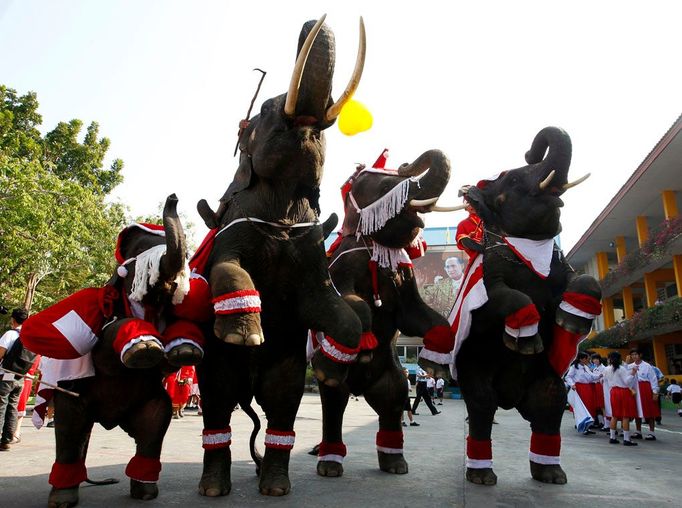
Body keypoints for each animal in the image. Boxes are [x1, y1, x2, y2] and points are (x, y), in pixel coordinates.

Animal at [193, 14, 366, 496]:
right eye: (269, 109)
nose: (310, 20)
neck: (282, 207)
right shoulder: (234, 226)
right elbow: (228, 269)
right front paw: (245, 335)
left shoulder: (311, 243)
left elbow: (327, 302)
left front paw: (335, 364)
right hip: (215, 372)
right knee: (217, 401)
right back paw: (213, 488)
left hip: (282, 372)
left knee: (282, 402)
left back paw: (274, 485)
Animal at [310, 147, 454, 476]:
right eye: (388, 185)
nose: (405, 164)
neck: (375, 246)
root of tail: (359, 389)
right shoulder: (341, 264)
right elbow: (353, 304)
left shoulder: (405, 274)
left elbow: (417, 317)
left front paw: (437, 366)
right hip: (339, 386)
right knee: (333, 402)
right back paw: (329, 464)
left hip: (392, 378)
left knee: (393, 401)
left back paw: (396, 464)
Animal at [420, 126, 600, 484]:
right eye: (515, 180)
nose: (532, 152)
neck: (529, 250)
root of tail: (511, 400)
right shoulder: (489, 278)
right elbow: (502, 298)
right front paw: (526, 340)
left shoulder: (560, 267)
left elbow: (584, 281)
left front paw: (573, 321)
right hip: (474, 368)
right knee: (481, 404)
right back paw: (481, 475)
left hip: (546, 383)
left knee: (551, 402)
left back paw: (552, 474)